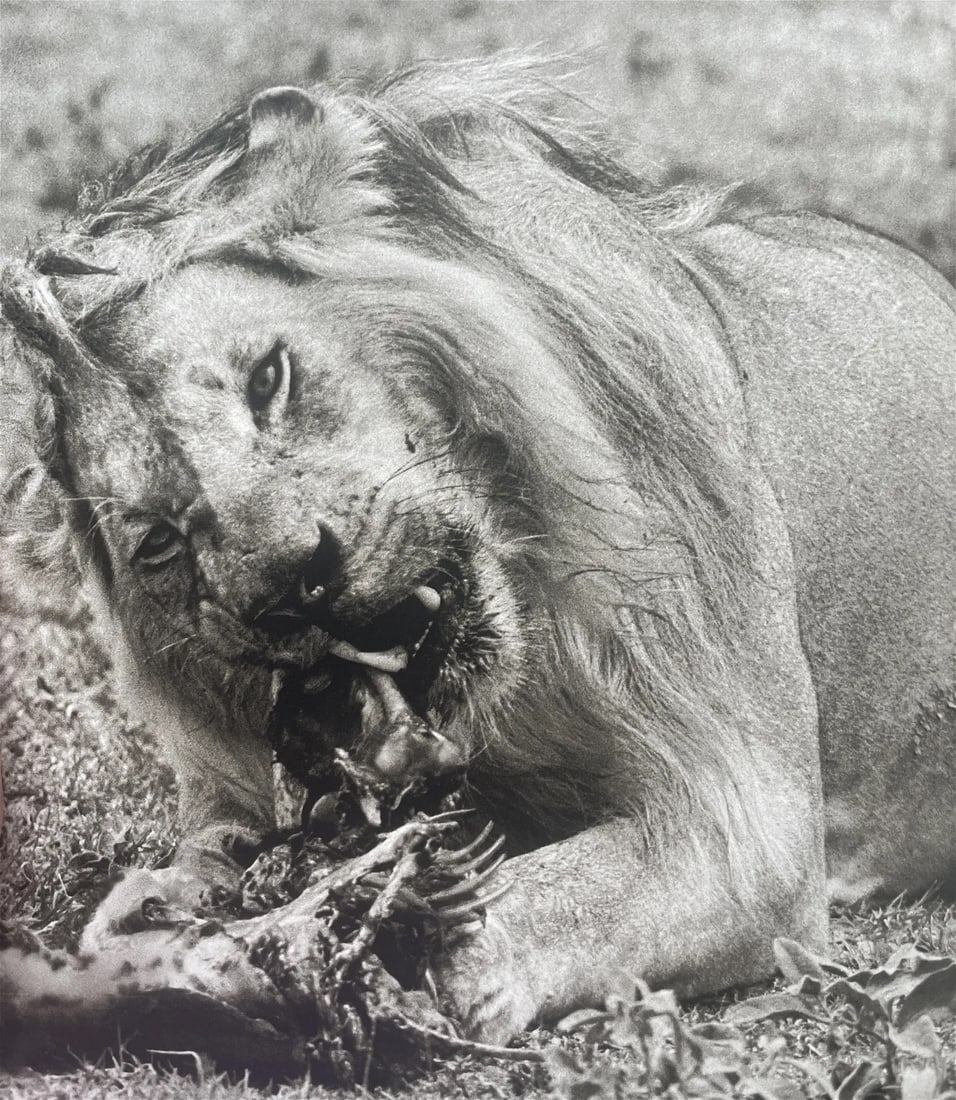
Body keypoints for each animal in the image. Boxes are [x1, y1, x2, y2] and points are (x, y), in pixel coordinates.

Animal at [1, 59, 953, 1046]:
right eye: (158, 540)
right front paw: (154, 936)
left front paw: (341, 938)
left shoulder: (746, 826)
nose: (291, 584)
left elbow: (551, 894)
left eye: (270, 378)